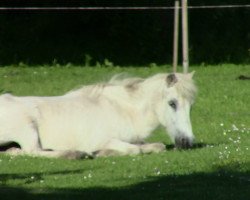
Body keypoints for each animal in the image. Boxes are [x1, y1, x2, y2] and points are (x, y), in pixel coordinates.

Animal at [0, 72, 197, 159]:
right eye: (172, 103)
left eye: (191, 106)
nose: (187, 142)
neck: (123, 110)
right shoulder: (105, 139)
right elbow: (133, 150)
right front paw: (100, 152)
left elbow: (157, 146)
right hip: (28, 128)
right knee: (32, 151)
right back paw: (75, 154)